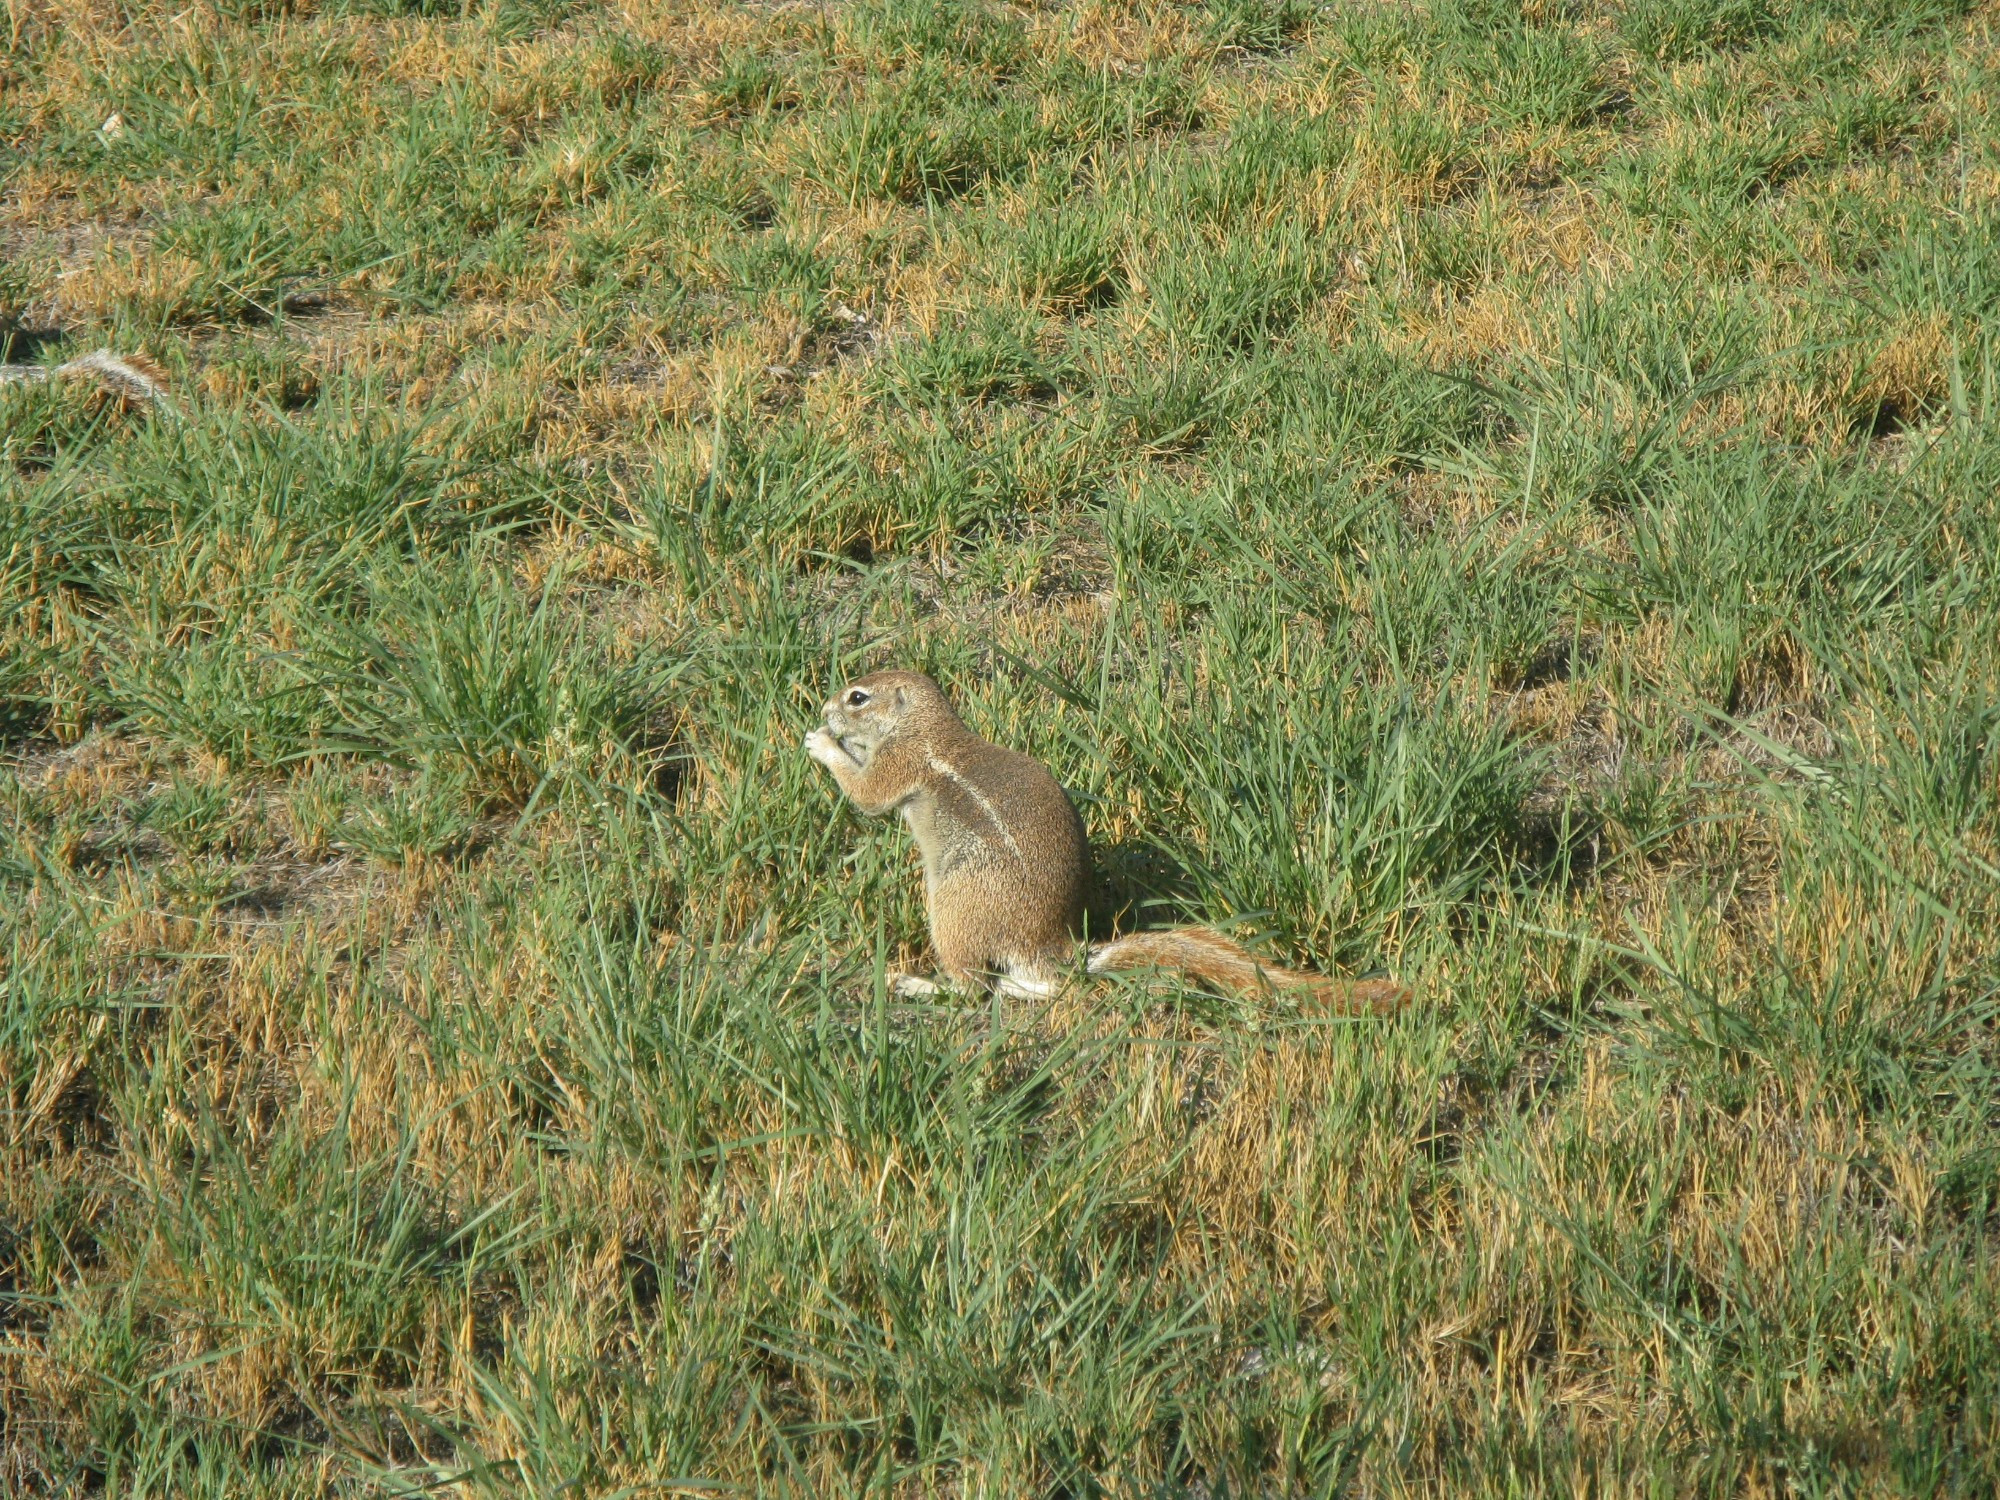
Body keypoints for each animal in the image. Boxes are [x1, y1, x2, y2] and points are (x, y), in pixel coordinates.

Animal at [808, 668, 1408, 1012]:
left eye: (857, 697)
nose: (824, 707)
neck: (926, 728)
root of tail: (1054, 945)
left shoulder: (899, 764)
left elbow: (866, 794)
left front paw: (820, 742)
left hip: (952, 912)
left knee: (973, 986)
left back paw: (918, 985)